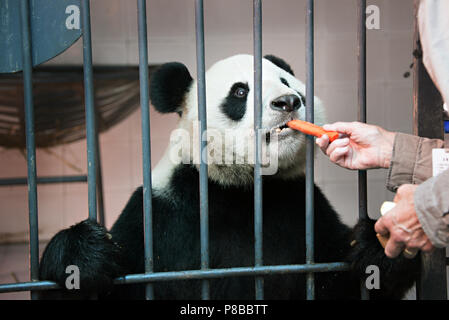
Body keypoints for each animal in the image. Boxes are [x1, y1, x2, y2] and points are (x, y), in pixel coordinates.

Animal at [40, 53, 418, 298]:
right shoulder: (162, 213)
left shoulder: (300, 204)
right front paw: (80, 256)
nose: (288, 101)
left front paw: (377, 245)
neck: (239, 187)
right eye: (240, 91)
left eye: (287, 82)